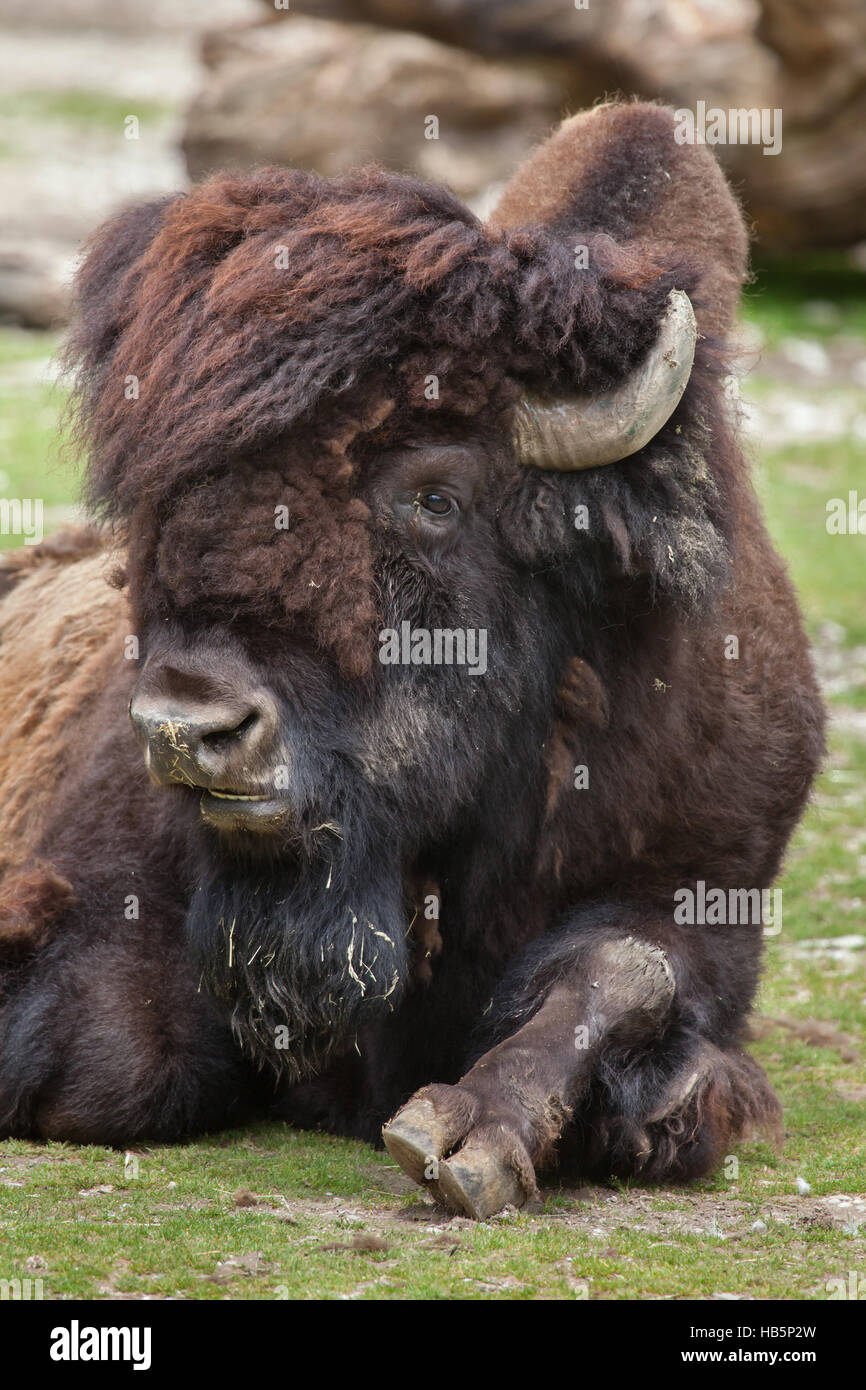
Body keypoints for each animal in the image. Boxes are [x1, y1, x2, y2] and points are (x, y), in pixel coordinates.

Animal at [0, 105, 828, 1217]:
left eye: (436, 495)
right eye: (156, 502)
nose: (187, 726)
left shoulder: (707, 889)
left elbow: (623, 976)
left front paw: (469, 1136)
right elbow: (117, 1056)